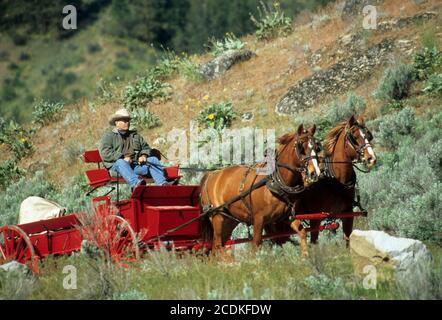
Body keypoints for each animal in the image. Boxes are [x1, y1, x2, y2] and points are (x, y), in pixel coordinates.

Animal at [200, 124, 322, 254]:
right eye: (301, 146)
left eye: (317, 147)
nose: (315, 173)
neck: (274, 182)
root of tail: (211, 175)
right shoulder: (259, 219)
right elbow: (256, 245)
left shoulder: (286, 217)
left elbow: (302, 233)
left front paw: (305, 256)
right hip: (218, 217)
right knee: (218, 246)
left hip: (229, 220)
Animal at [264, 115, 378, 255]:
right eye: (354, 137)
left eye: (368, 135)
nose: (371, 158)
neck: (336, 180)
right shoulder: (315, 217)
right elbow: (314, 241)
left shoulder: (347, 213)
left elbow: (347, 238)